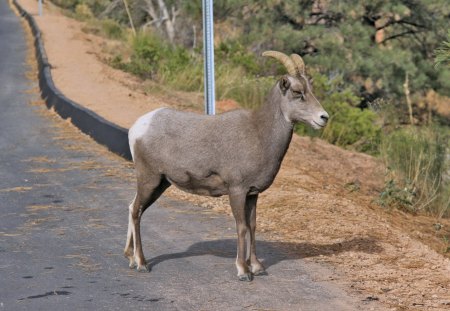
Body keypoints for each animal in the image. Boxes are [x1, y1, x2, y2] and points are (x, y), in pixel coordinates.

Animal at [125, 50, 328, 280]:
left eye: (310, 90)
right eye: (297, 92)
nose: (324, 118)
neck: (260, 134)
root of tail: (138, 127)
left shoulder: (252, 194)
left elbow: (253, 226)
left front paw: (257, 267)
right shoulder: (237, 191)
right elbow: (241, 227)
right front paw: (243, 271)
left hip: (160, 184)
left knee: (133, 207)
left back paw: (131, 259)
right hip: (149, 180)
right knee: (136, 211)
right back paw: (142, 263)